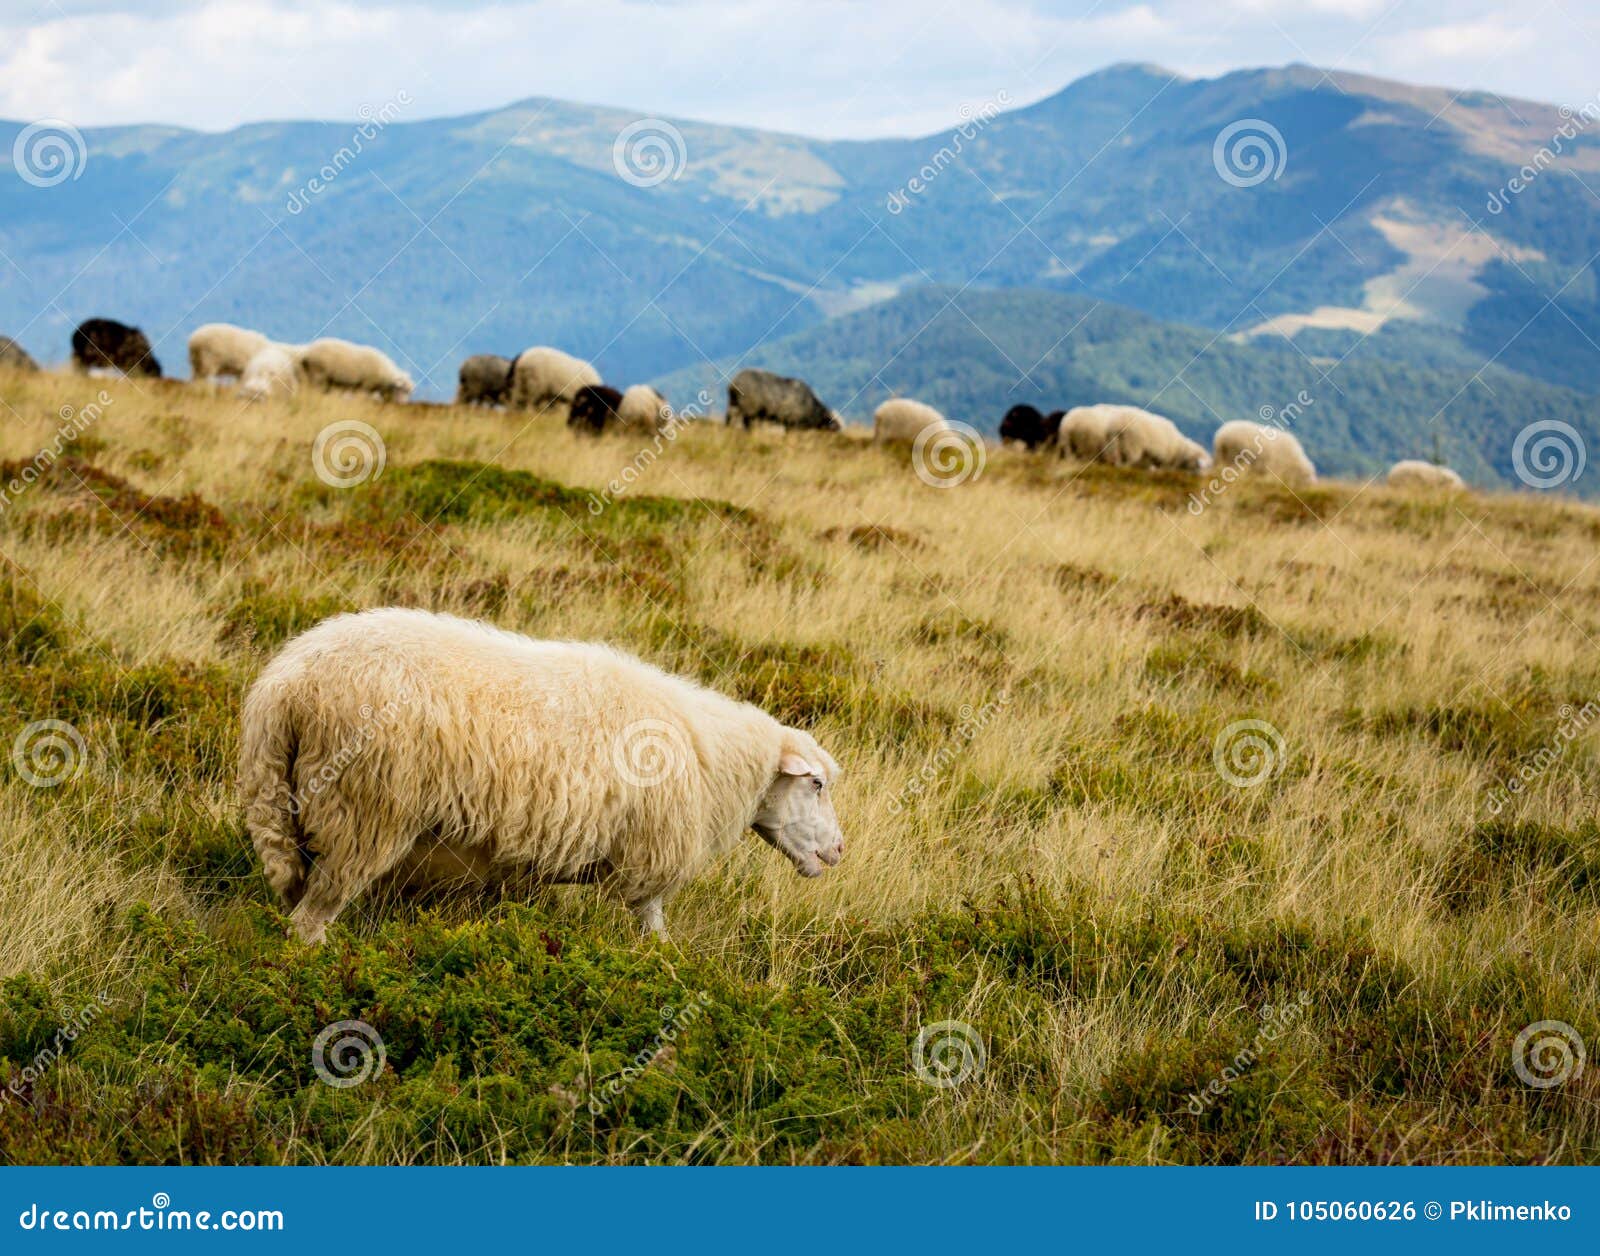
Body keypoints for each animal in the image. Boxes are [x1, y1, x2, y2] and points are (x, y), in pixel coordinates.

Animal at [240, 608, 845, 943]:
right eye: (815, 783)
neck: (711, 751)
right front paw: (663, 966)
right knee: (310, 920)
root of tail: (285, 687)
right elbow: (652, 921)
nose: (839, 851)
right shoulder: (650, 849)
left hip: (288, 807)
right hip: (364, 810)